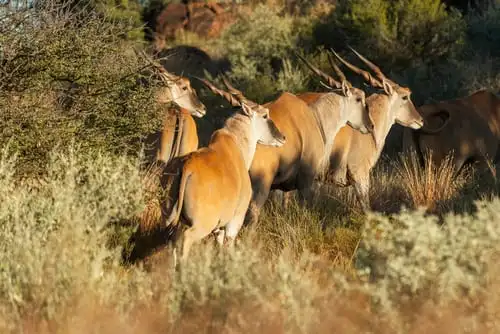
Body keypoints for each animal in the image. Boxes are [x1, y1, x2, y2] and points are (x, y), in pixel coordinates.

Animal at [158, 78, 288, 260]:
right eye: (265, 115)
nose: (282, 137)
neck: (235, 144)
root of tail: (187, 166)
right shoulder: (234, 221)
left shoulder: (218, 229)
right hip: (201, 225)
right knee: (186, 239)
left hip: (168, 220)